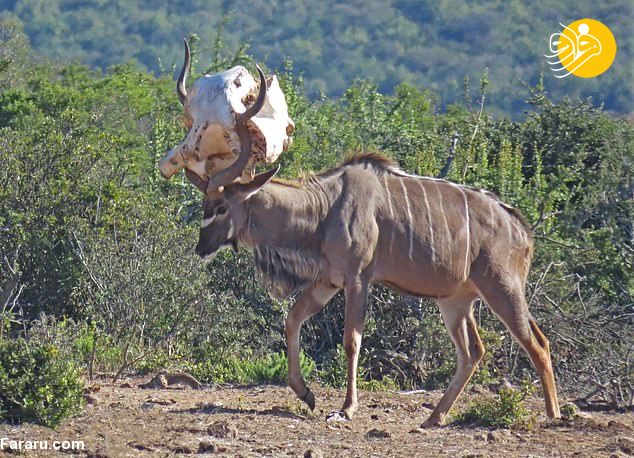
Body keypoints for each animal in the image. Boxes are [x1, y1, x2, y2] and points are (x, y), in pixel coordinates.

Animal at [173, 58, 556, 430]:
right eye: (206, 205)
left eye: (221, 207)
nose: (202, 247)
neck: (325, 207)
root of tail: (521, 229)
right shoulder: (328, 282)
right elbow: (293, 319)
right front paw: (306, 394)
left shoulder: (358, 280)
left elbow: (351, 341)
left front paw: (346, 408)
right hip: (456, 302)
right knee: (473, 351)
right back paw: (434, 417)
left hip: (501, 288)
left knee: (537, 342)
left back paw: (554, 415)